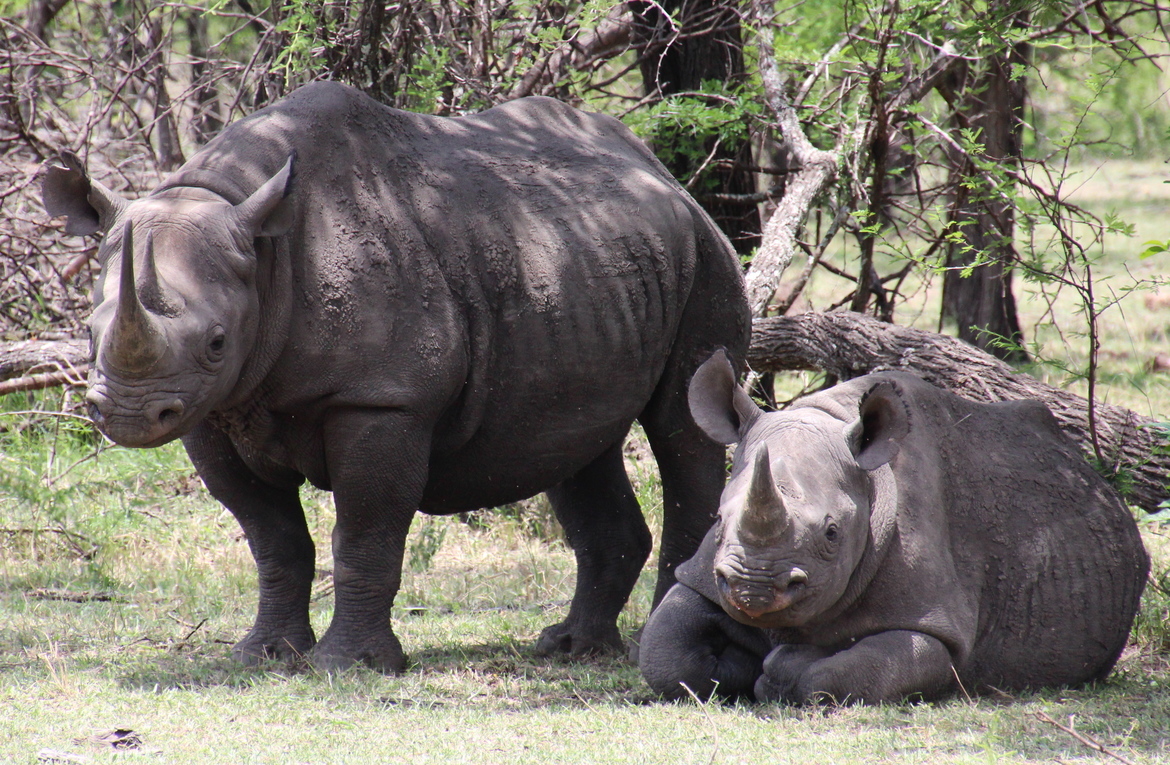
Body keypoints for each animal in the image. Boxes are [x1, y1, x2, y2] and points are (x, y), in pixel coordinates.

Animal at [41, 81, 750, 672]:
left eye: (216, 342)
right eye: (87, 334)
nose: (129, 415)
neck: (262, 251)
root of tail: (663, 173)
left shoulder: (384, 400)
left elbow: (366, 530)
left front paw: (348, 666)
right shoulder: (211, 408)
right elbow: (272, 537)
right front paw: (261, 656)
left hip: (708, 256)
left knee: (682, 427)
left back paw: (650, 642)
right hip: (587, 268)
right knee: (576, 440)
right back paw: (569, 648)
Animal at [638, 350, 1149, 704]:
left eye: (831, 533)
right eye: (718, 519)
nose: (755, 590)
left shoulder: (937, 625)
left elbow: (845, 672)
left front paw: (781, 667)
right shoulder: (705, 575)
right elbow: (664, 654)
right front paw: (738, 665)